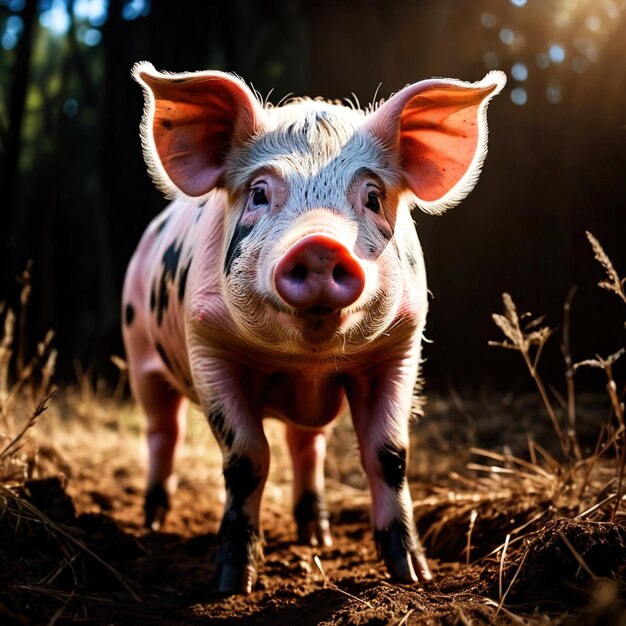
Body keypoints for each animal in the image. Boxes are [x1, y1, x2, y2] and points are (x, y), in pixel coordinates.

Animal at [122, 61, 502, 592]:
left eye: (372, 196)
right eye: (260, 193)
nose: (320, 244)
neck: (307, 361)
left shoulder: (400, 348)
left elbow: (389, 454)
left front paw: (413, 575)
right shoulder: (209, 346)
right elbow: (245, 459)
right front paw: (232, 583)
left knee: (307, 445)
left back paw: (316, 537)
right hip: (140, 352)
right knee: (163, 431)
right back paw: (154, 522)